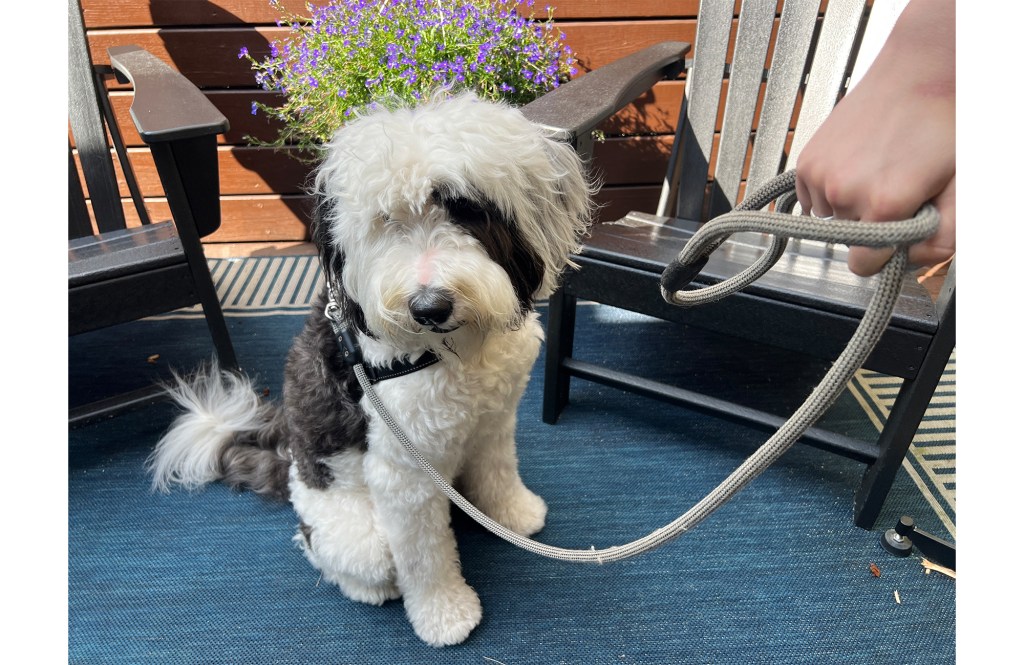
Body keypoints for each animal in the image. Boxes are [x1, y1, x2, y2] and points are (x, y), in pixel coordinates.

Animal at [144, 90, 593, 647]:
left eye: (465, 208)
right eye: (386, 221)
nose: (428, 307)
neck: (455, 351)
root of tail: (288, 463)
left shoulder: (493, 423)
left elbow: (497, 471)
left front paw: (513, 515)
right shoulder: (403, 472)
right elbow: (423, 556)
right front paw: (444, 614)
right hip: (354, 533)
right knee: (333, 550)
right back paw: (368, 587)